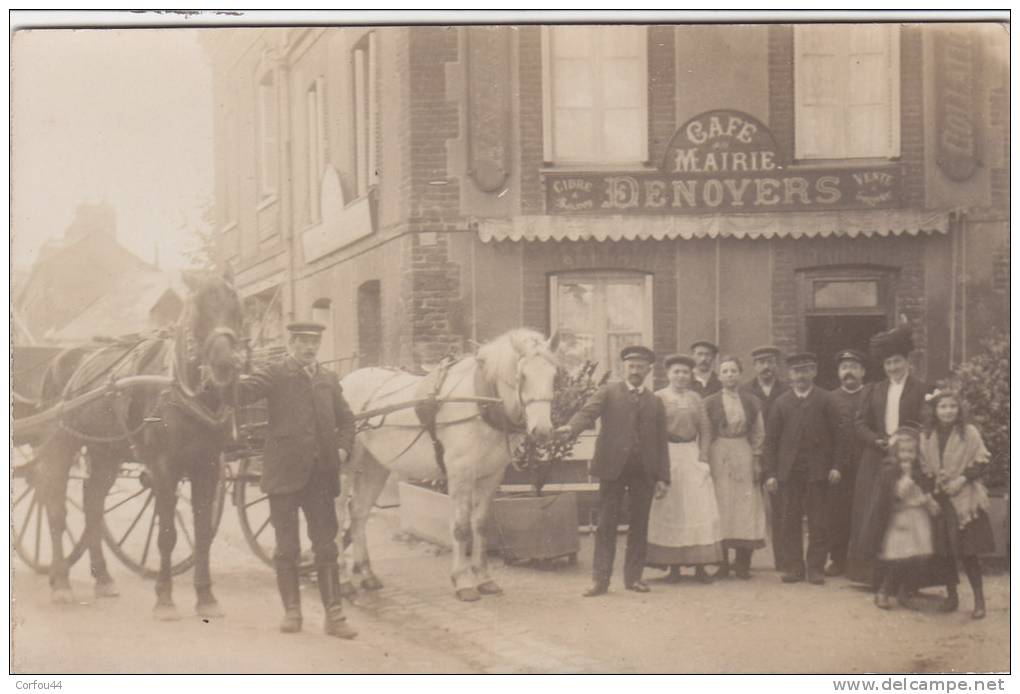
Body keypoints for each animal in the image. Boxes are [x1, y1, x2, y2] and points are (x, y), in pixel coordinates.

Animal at [33, 267, 242, 616]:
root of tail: (60, 359)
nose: (225, 365)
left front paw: (206, 597)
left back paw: (103, 578)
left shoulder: (208, 466)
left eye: (237, 306)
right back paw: (60, 582)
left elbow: (201, 533)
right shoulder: (164, 467)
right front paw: (165, 598)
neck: (182, 387)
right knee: (56, 506)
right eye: (197, 310)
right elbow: (168, 533)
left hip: (105, 452)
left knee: (92, 504)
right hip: (62, 445)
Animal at [336, 328, 558, 600]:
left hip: (375, 465)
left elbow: (480, 525)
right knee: (338, 514)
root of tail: (346, 380)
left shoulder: (491, 475)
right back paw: (343, 579)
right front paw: (462, 581)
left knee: (358, 512)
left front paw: (484, 578)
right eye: (522, 375)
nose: (542, 431)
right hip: (345, 466)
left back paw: (366, 573)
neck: (480, 400)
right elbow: (461, 528)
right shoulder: (460, 473)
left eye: (554, 375)